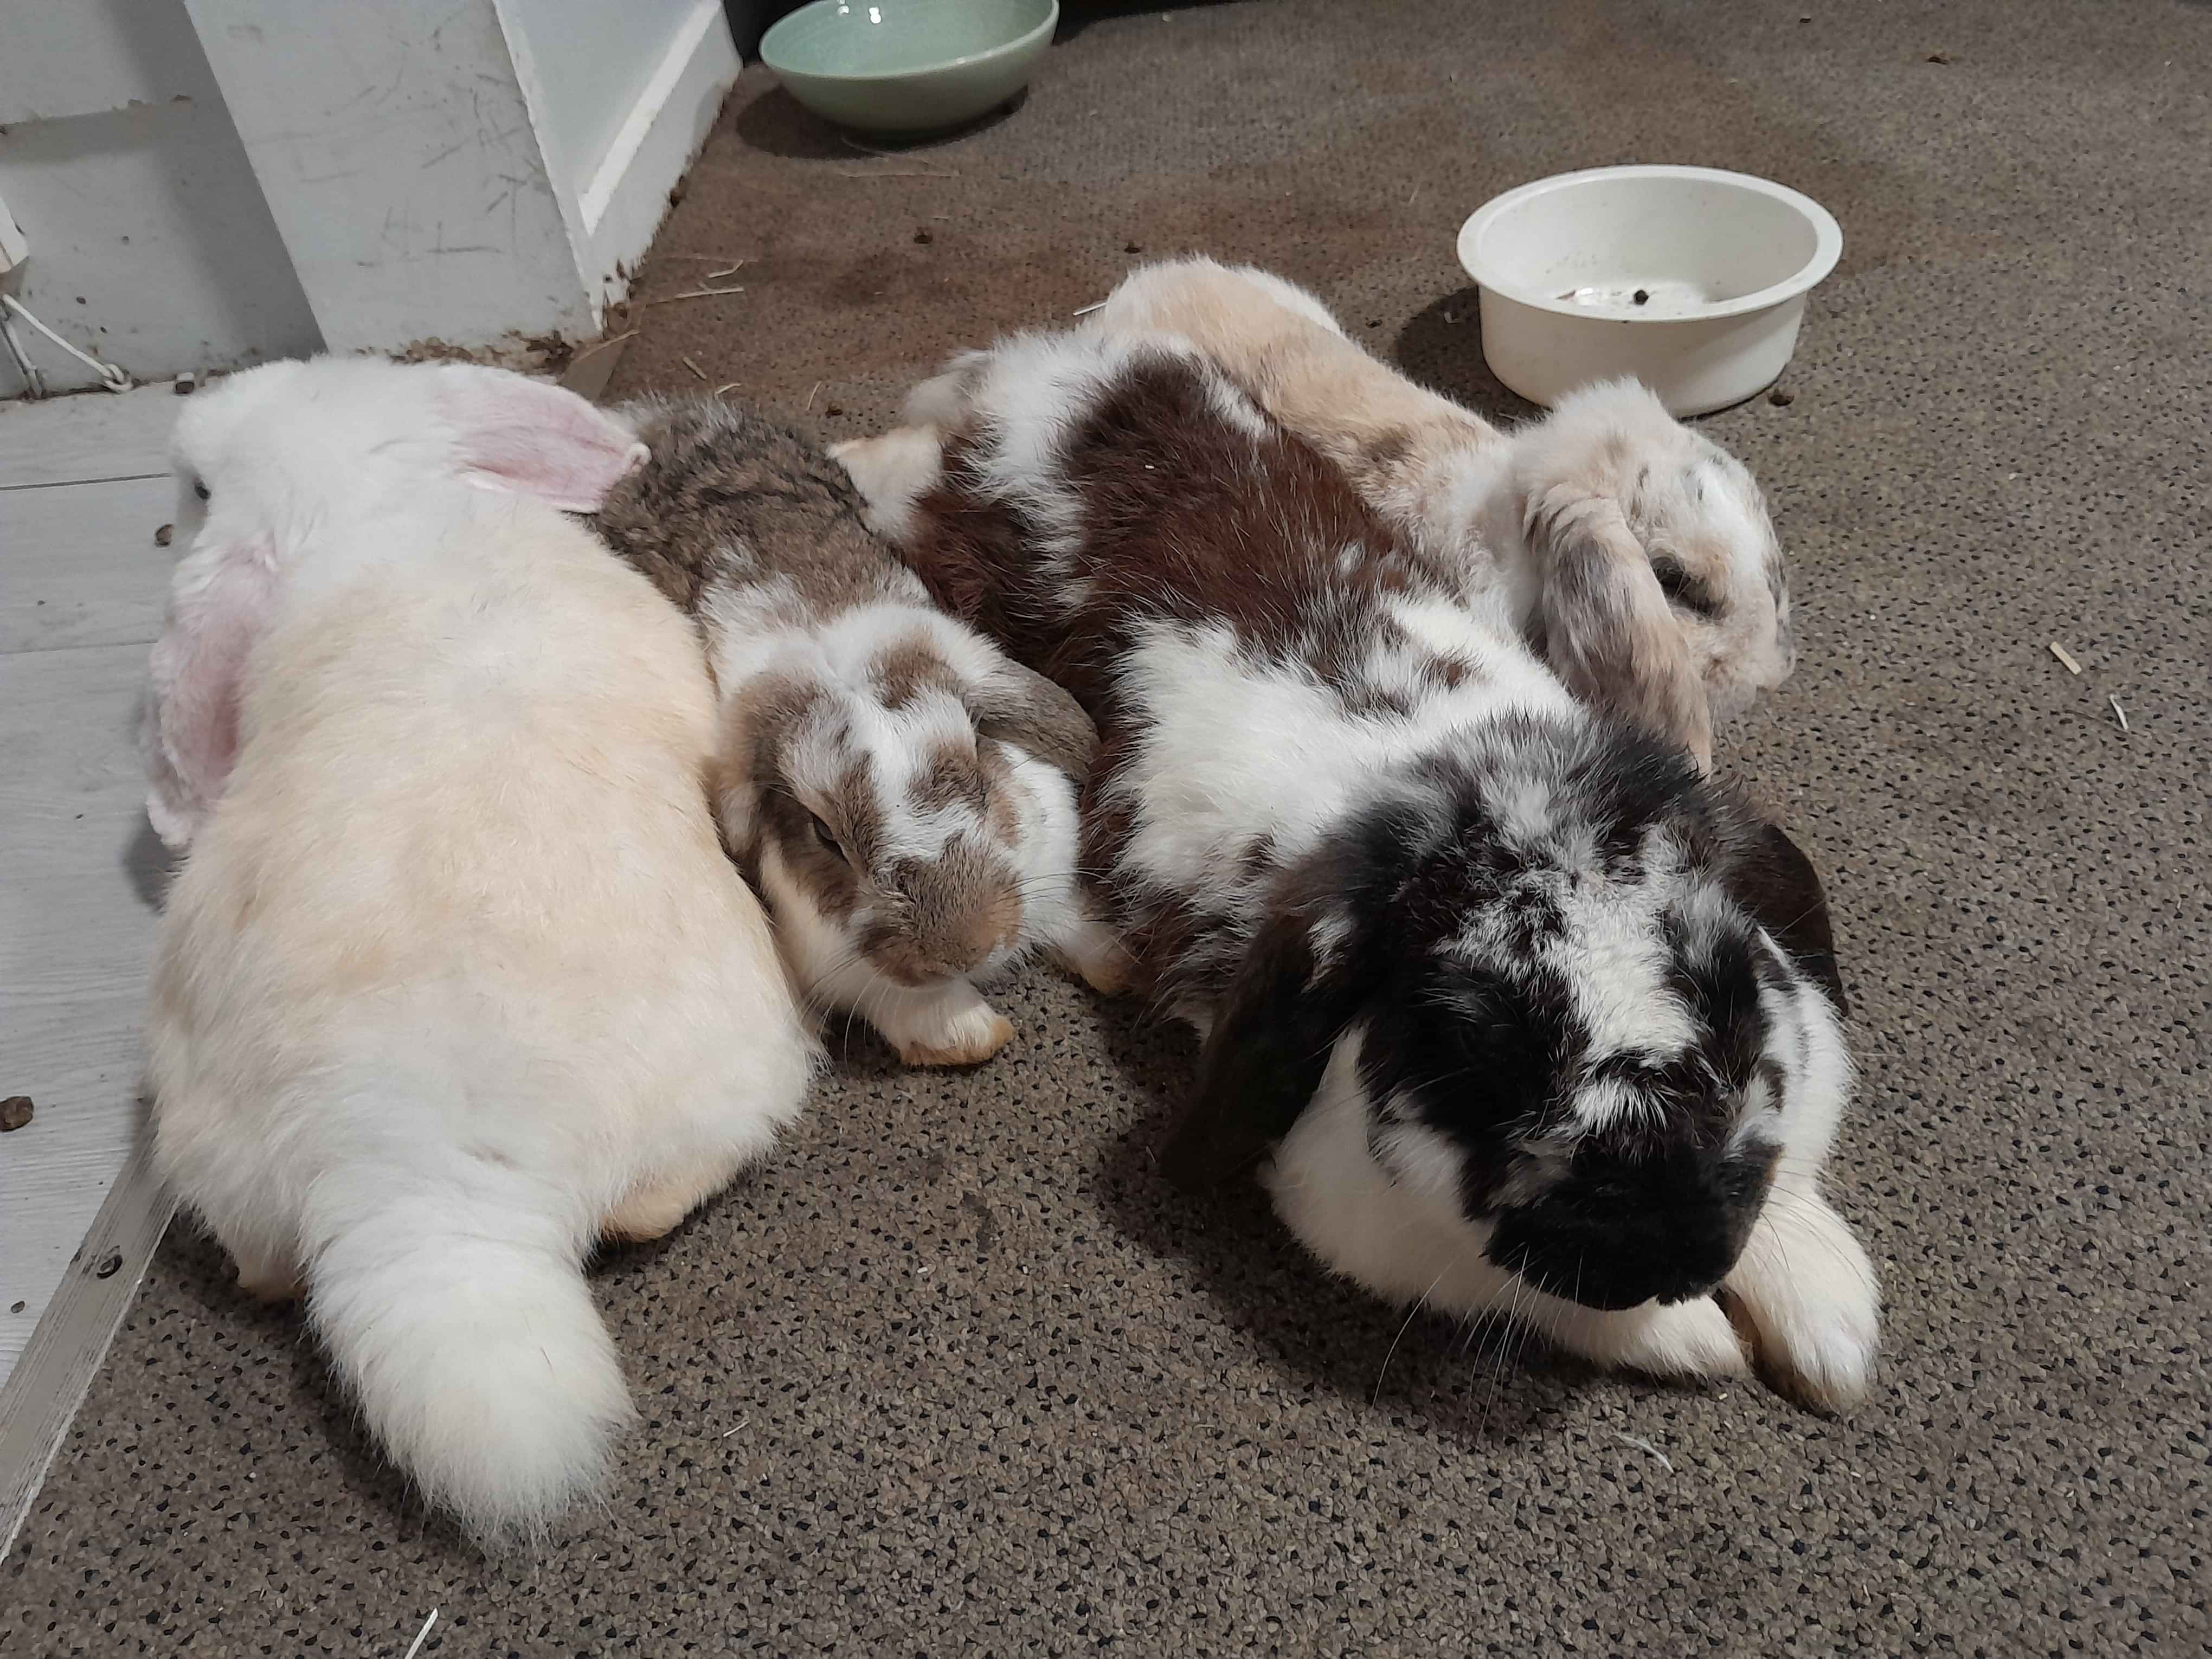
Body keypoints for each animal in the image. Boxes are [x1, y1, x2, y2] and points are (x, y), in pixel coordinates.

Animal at [590, 397, 1124, 1070]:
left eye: (981, 774)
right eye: (824, 835)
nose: (964, 949)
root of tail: (666, 426)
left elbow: (1067, 919)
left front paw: (1121, 962)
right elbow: (920, 1011)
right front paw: (972, 1036)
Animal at [837, 327, 1879, 1412]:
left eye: (1731, 996)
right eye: (1480, 1051)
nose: (1676, 1253)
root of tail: (1025, 370)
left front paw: (1830, 1323)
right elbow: (1536, 1301)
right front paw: (1703, 1339)